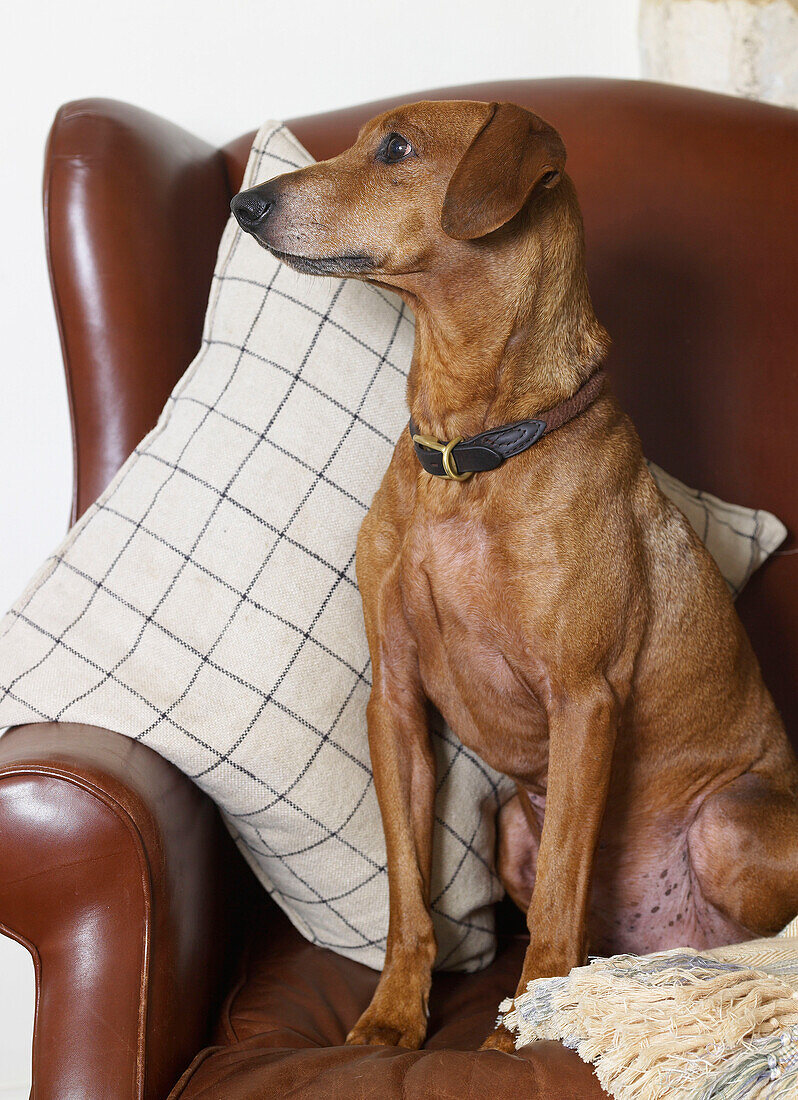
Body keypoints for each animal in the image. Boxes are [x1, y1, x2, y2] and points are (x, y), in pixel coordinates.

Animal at [233, 99, 796, 1051]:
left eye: (396, 147)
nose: (245, 204)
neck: (470, 452)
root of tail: (668, 941)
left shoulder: (585, 699)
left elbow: (562, 898)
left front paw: (518, 1033)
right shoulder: (395, 699)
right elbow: (407, 892)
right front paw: (393, 1017)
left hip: (727, 825)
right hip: (507, 826)